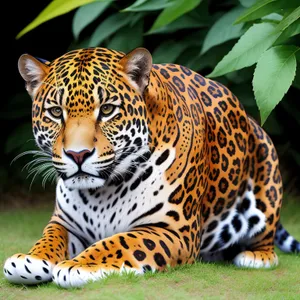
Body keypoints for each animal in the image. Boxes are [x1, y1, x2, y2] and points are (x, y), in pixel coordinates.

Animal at [2, 47, 300, 288]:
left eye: (107, 109)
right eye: (55, 112)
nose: (78, 154)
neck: (102, 192)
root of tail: (251, 120)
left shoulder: (173, 230)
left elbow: (120, 241)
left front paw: (79, 265)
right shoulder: (65, 222)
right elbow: (50, 237)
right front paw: (31, 259)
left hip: (268, 168)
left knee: (265, 233)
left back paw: (256, 256)